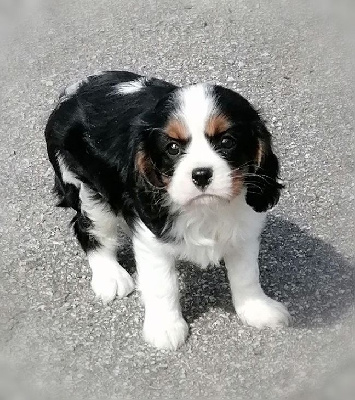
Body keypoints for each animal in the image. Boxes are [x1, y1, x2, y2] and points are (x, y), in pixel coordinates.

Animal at [44, 72, 290, 350]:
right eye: (172, 148)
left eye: (227, 142)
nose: (201, 174)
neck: (205, 210)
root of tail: (72, 94)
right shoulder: (152, 240)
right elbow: (163, 286)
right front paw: (165, 327)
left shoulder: (245, 228)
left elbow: (247, 274)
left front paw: (256, 308)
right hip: (90, 191)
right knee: (89, 230)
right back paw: (110, 276)